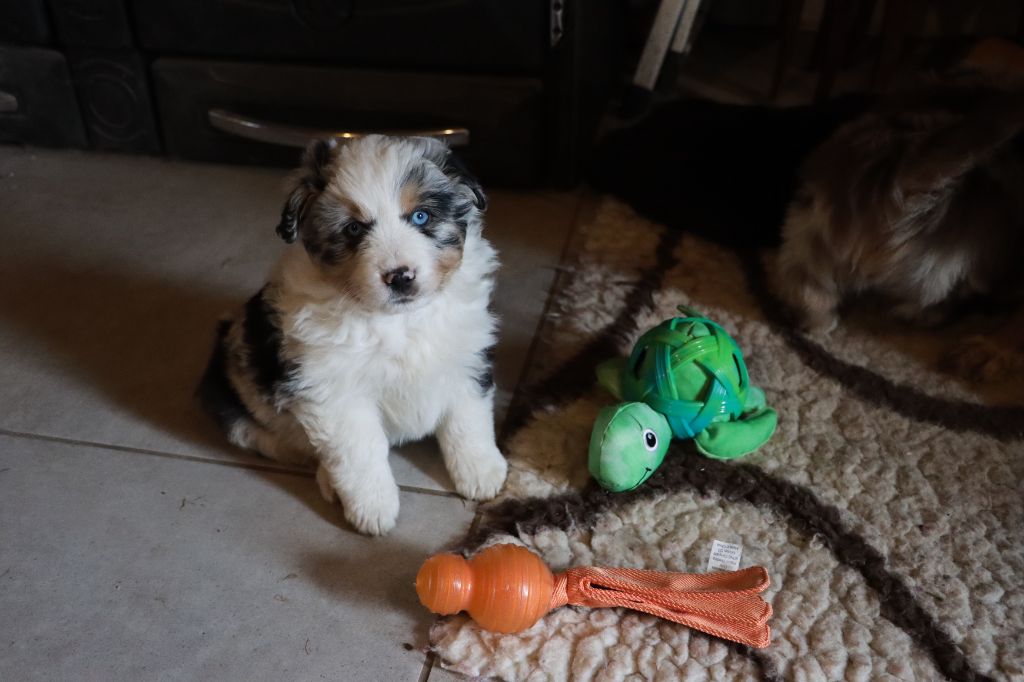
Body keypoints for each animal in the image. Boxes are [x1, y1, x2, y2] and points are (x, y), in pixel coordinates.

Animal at [198, 135, 507, 535]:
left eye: (421, 216)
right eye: (354, 229)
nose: (400, 276)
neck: (398, 321)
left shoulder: (467, 355)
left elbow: (468, 420)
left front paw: (482, 474)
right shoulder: (333, 393)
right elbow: (359, 451)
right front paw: (373, 510)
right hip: (246, 416)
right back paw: (330, 483)